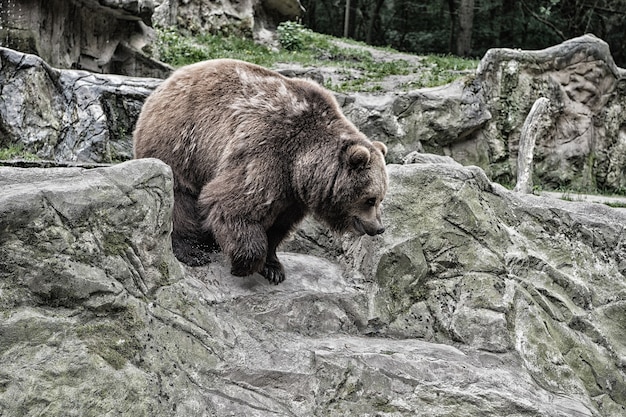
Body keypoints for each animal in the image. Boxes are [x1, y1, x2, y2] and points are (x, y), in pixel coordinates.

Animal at [133, 58, 386, 284]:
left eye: (381, 198)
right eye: (370, 199)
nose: (378, 228)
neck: (303, 163)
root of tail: (164, 84)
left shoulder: (292, 193)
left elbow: (278, 225)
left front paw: (273, 267)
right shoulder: (269, 149)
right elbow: (233, 203)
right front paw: (245, 263)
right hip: (182, 141)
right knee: (180, 195)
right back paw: (192, 250)